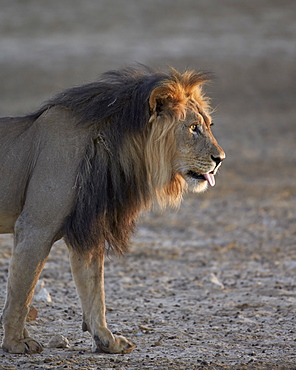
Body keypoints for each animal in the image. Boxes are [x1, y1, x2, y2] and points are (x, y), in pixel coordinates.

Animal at [0, 65, 224, 354]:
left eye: (208, 125)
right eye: (193, 128)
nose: (220, 159)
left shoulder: (90, 228)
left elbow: (95, 291)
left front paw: (107, 340)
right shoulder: (35, 226)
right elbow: (22, 290)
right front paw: (17, 342)